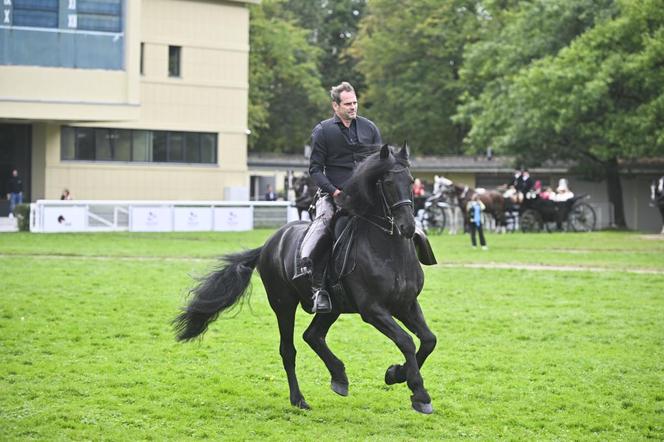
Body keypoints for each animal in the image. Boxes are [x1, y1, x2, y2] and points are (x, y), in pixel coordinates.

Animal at [174, 145, 438, 414]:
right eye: (387, 182)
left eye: (411, 181)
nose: (407, 226)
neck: (388, 250)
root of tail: (269, 244)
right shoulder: (373, 310)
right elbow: (406, 341)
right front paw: (419, 393)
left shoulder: (406, 304)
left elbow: (428, 340)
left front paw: (396, 374)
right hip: (283, 305)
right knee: (288, 350)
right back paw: (299, 398)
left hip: (332, 307)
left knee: (312, 335)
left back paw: (339, 377)